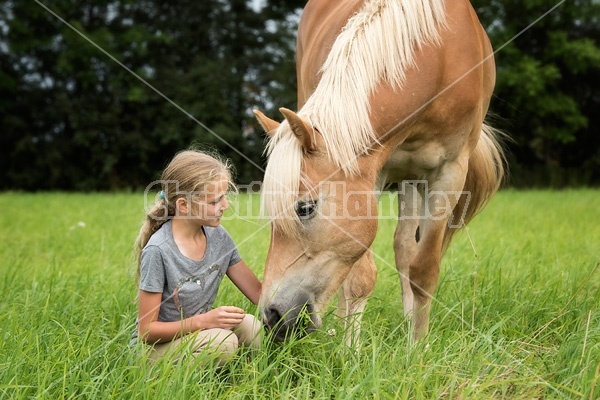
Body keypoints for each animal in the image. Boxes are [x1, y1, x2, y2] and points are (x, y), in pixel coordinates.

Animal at [254, 0, 506, 344]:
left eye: (304, 208)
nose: (271, 315)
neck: (434, 56)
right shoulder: (374, 173)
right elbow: (360, 277)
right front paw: (349, 350)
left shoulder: (450, 172)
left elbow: (423, 270)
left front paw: (417, 346)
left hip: (414, 178)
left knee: (405, 249)